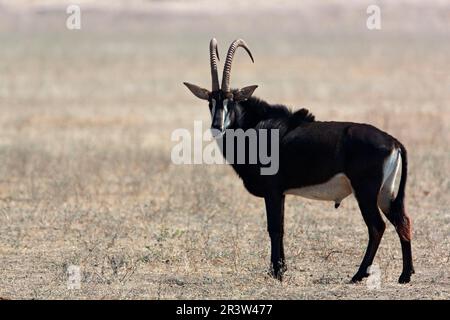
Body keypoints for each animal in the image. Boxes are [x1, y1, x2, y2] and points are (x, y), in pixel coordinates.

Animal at [183, 38, 414, 284]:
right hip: (386, 193)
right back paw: (405, 275)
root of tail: (393, 141)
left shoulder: (272, 190)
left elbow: (274, 228)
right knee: (402, 221)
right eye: (210, 101)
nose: (217, 125)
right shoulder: (281, 193)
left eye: (231, 100)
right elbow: (281, 226)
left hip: (366, 192)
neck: (256, 126)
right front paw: (280, 269)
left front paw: (277, 272)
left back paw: (359, 274)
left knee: (377, 227)